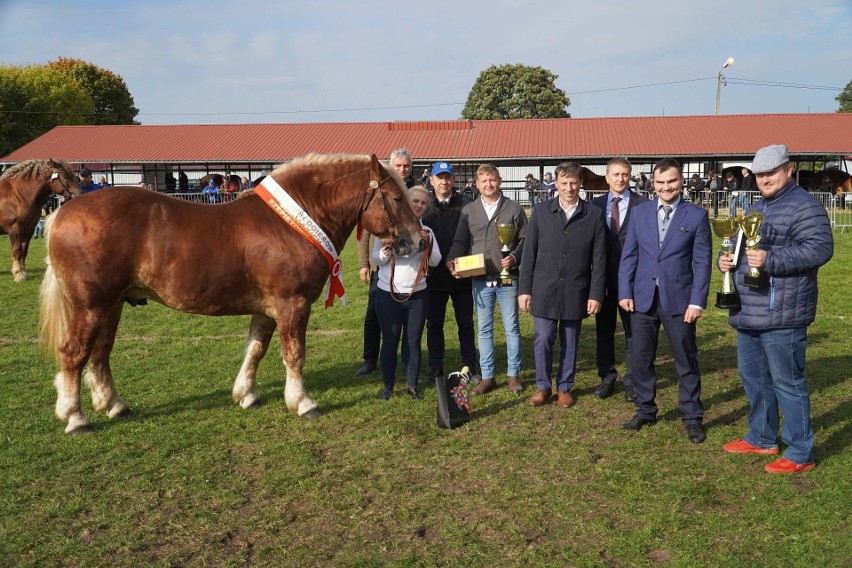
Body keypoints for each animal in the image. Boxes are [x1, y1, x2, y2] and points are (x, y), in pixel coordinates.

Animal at [40, 153, 426, 432]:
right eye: (396, 197)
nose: (419, 240)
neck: (289, 223)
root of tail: (63, 212)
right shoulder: (292, 304)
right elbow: (294, 354)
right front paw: (303, 402)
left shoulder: (267, 309)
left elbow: (255, 349)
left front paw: (246, 394)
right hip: (91, 306)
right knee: (74, 352)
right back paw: (75, 417)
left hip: (112, 305)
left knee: (100, 352)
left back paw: (114, 405)